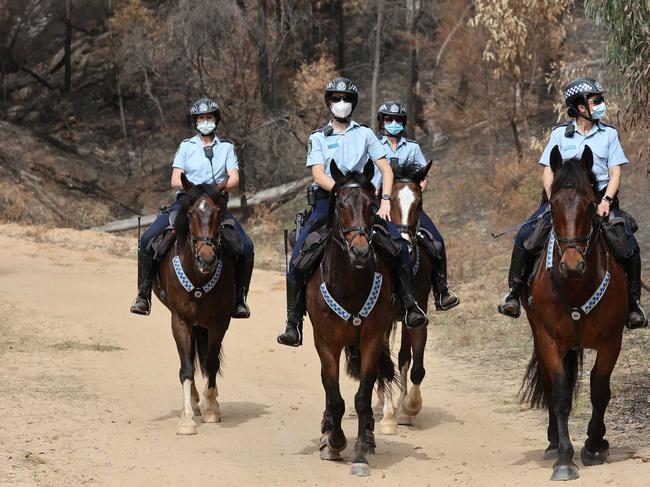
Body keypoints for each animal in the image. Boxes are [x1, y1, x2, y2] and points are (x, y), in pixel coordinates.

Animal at [153, 174, 237, 434]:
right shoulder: (179, 320)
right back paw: (192, 400)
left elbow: (211, 362)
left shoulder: (219, 322)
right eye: (190, 213)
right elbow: (187, 367)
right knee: (188, 356)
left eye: (218, 212)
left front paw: (211, 409)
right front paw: (187, 420)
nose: (207, 259)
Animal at [308, 159, 394, 476]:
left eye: (371, 204)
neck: (349, 286)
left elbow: (362, 398)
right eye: (341, 204)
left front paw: (359, 452)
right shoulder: (325, 344)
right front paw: (334, 441)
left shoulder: (371, 341)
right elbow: (334, 397)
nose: (359, 251)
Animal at [516, 147, 628, 482]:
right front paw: (565, 460)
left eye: (590, 205)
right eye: (552, 204)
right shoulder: (549, 339)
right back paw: (554, 443)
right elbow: (561, 393)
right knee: (552, 384)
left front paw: (594, 445)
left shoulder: (611, 340)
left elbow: (599, 390)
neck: (577, 286)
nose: (572, 265)